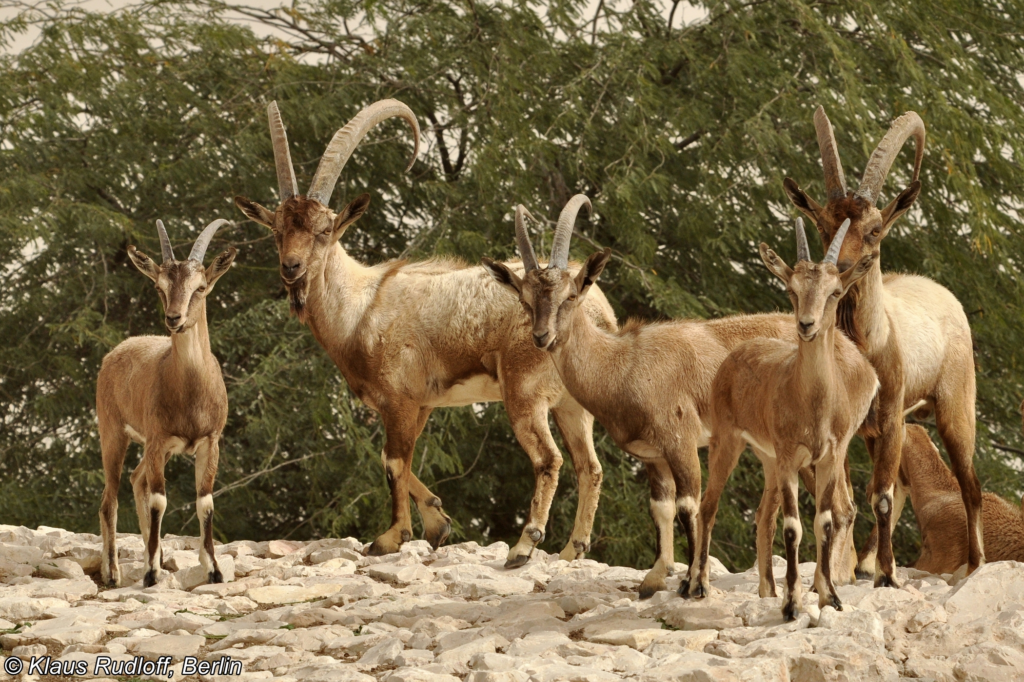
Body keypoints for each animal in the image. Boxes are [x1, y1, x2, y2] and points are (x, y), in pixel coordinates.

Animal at [98, 219, 236, 587]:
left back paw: (154, 552)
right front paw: (149, 573)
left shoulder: (209, 442)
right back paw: (113, 572)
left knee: (136, 480)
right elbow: (160, 500)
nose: (174, 318)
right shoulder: (159, 440)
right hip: (113, 434)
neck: (189, 392)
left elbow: (205, 502)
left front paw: (213, 568)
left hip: (153, 447)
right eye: (160, 287)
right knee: (110, 499)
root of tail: (114, 353)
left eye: (200, 287)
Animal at [234, 101, 617, 565]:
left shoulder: (397, 400)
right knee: (589, 467)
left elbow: (393, 462)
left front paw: (391, 537)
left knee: (549, 459)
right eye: (277, 229)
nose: (291, 268)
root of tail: (594, 311)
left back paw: (525, 545)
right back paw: (571, 550)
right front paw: (438, 523)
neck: (360, 307)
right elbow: (398, 459)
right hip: (572, 405)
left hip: (525, 393)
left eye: (324, 230)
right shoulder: (422, 404)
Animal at [483, 197, 806, 598]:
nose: (542, 337)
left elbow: (690, 507)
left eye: (571, 295)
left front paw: (694, 583)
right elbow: (662, 508)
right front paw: (656, 577)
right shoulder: (653, 455)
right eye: (525, 300)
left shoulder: (681, 441)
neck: (624, 364)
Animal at [688, 219, 877, 619]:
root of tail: (735, 354)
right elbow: (794, 527)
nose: (807, 325)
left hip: (768, 459)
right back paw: (697, 585)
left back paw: (766, 590)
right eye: (792, 289)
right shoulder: (792, 456)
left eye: (835, 291)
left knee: (763, 515)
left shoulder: (829, 457)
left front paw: (829, 596)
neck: (812, 403)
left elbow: (824, 522)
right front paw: (792, 603)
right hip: (728, 442)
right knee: (708, 506)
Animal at [783, 106, 983, 586]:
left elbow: (884, 497)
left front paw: (888, 576)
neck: (870, 342)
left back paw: (974, 566)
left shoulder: (892, 415)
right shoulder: (843, 426)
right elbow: (842, 500)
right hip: (878, 432)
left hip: (955, 408)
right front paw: (839, 575)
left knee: (970, 486)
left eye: (874, 230)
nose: (839, 269)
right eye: (824, 225)